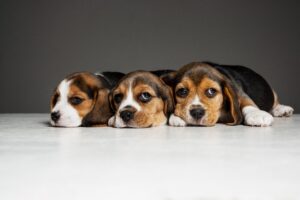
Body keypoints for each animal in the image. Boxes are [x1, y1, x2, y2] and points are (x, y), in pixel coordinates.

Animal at [163, 61, 294, 126]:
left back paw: (282, 109)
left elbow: (247, 102)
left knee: (275, 101)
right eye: (182, 91)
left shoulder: (237, 89)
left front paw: (256, 114)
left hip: (272, 92)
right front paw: (176, 116)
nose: (196, 112)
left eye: (211, 91)